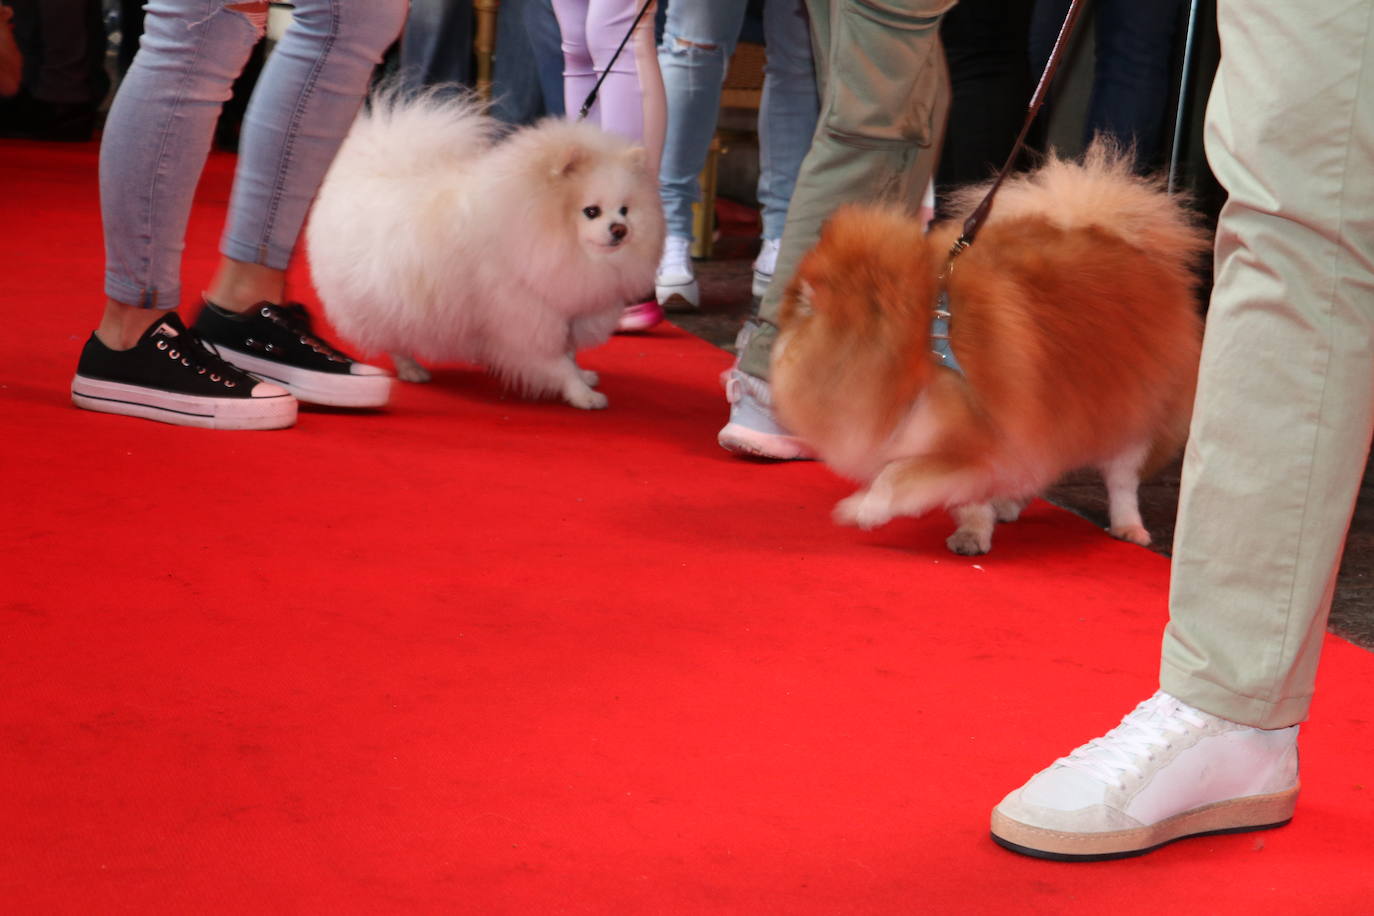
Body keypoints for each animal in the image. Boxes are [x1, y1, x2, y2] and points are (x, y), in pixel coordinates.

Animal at [305, 91, 665, 409]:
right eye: (591, 211)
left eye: (624, 210)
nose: (620, 230)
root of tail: (368, 163)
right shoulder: (526, 317)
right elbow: (557, 363)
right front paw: (583, 396)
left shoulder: (565, 313)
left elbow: (569, 355)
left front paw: (583, 377)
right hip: (381, 299)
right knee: (393, 339)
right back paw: (412, 369)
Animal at [780, 142, 1209, 554]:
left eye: (804, 301)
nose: (781, 305)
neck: (920, 343)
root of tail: (1120, 236)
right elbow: (967, 495)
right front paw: (972, 532)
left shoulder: (976, 437)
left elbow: (894, 476)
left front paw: (863, 509)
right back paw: (1010, 504)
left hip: (1130, 413)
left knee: (1122, 480)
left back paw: (1129, 527)